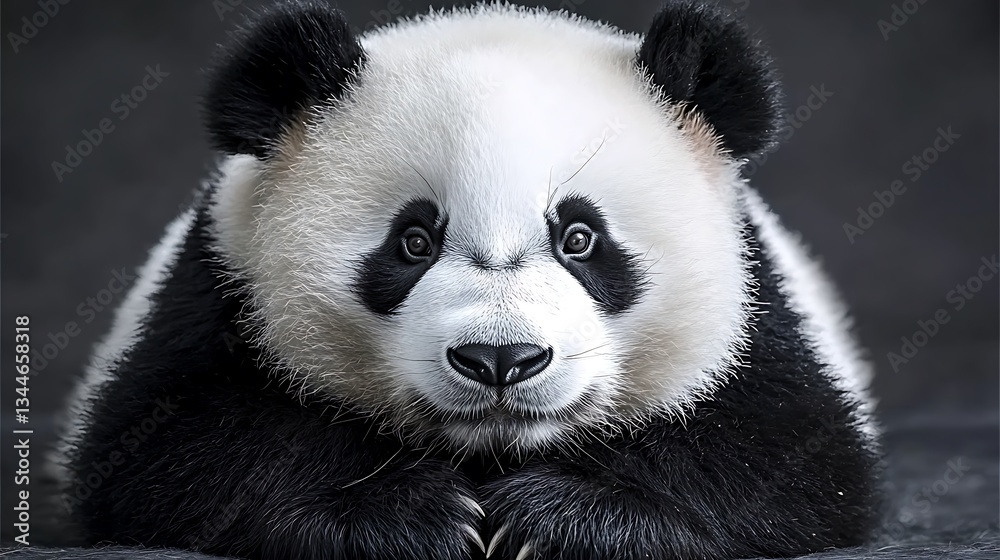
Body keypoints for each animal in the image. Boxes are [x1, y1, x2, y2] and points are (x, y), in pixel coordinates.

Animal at [54, 1, 880, 559]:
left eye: (581, 239)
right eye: (414, 242)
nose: (500, 361)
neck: (491, 451)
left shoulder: (756, 314)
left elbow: (790, 453)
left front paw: (556, 520)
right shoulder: (219, 283)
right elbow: (172, 444)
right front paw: (406, 516)